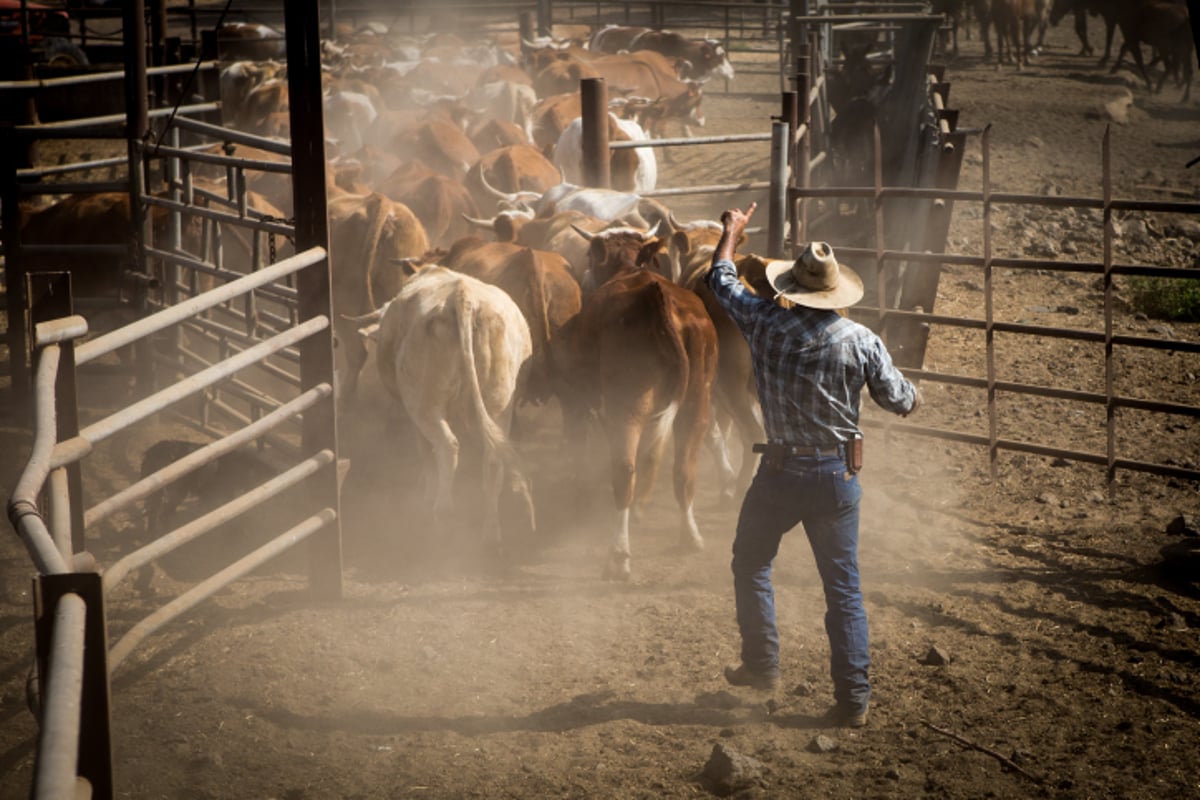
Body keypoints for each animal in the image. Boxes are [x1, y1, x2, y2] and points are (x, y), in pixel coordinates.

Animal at [355, 266, 535, 546]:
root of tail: (463, 296)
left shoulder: (415, 414)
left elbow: (426, 455)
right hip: (499, 405)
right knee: (493, 460)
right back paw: (491, 534)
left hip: (425, 405)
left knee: (447, 446)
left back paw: (441, 512)